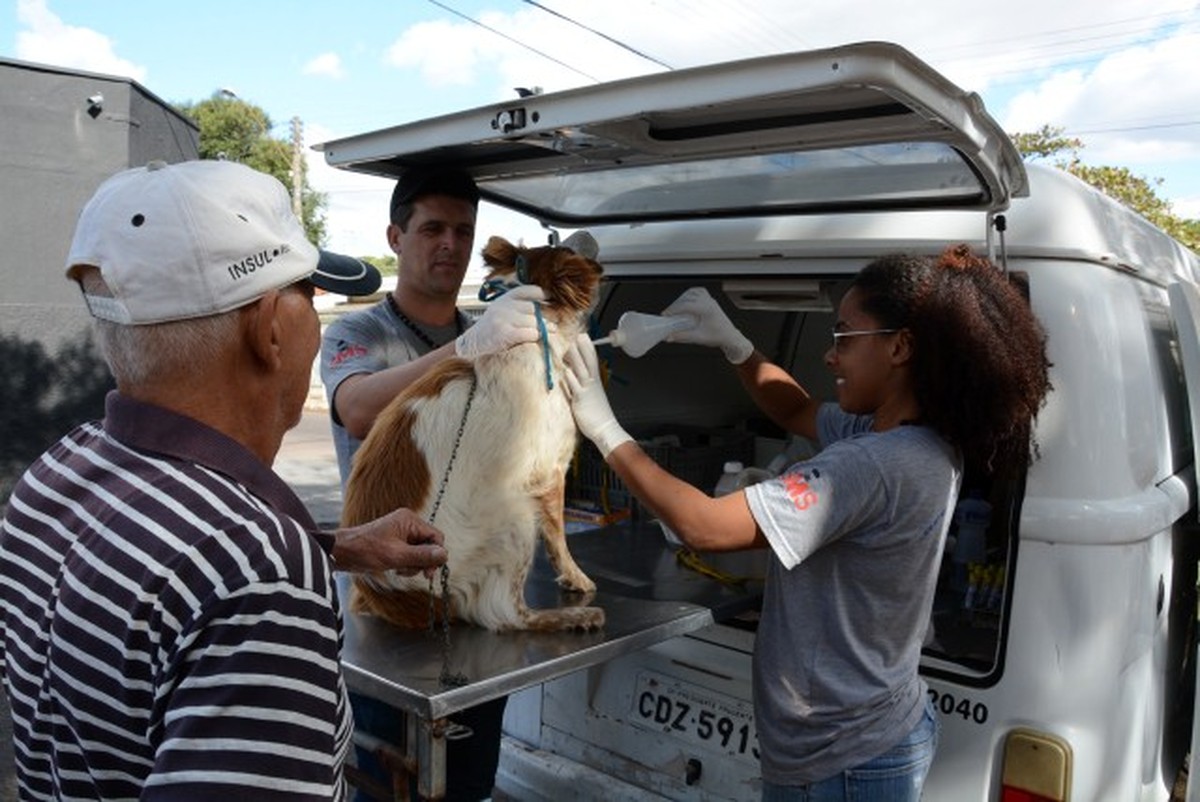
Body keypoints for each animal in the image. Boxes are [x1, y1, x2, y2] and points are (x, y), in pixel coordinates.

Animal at [340, 231, 604, 633]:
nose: (589, 237)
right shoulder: (548, 473)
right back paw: (572, 617)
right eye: (568, 248)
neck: (531, 337)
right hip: (515, 515)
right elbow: (558, 538)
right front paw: (577, 578)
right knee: (507, 614)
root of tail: (392, 594)